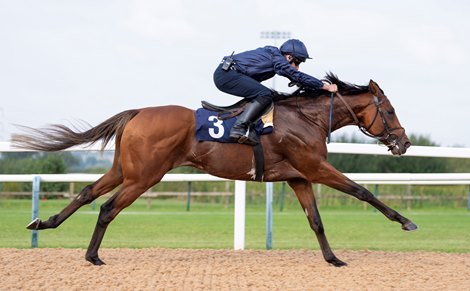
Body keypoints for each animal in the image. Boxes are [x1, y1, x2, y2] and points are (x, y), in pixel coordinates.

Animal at [12, 74, 416, 268]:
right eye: (390, 110)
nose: (405, 142)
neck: (307, 118)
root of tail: (138, 112)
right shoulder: (316, 168)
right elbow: (363, 191)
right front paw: (406, 222)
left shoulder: (298, 177)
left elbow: (315, 220)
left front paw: (333, 259)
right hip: (144, 176)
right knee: (108, 208)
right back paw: (92, 256)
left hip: (123, 170)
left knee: (86, 194)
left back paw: (44, 222)